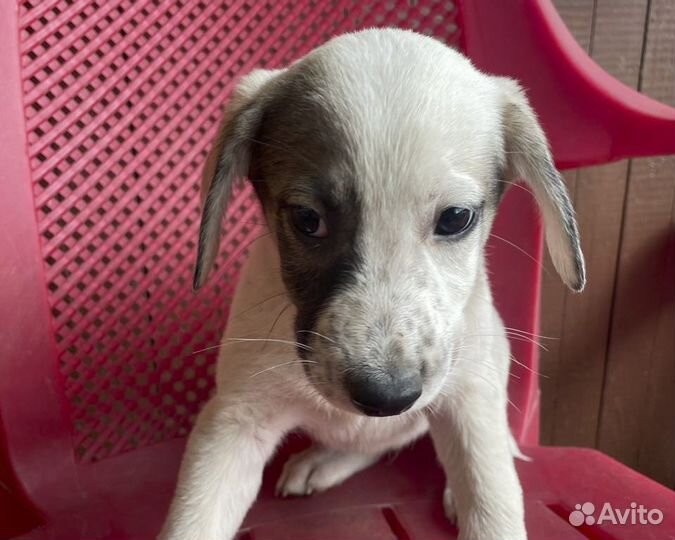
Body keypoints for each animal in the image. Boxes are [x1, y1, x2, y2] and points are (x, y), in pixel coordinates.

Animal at [160, 28, 588, 540]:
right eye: (308, 219)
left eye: (456, 218)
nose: (387, 396)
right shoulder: (233, 421)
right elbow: (194, 519)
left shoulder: (469, 401)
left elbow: (492, 501)